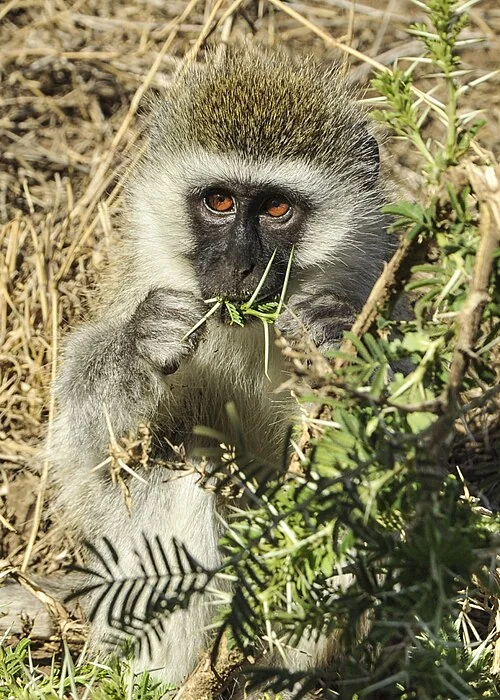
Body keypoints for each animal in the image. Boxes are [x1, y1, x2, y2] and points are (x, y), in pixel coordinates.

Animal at [1, 46, 394, 691]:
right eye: (220, 201)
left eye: (277, 208)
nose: (238, 267)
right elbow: (82, 450)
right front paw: (142, 342)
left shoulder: (378, 286)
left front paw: (334, 337)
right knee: (181, 472)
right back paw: (164, 682)